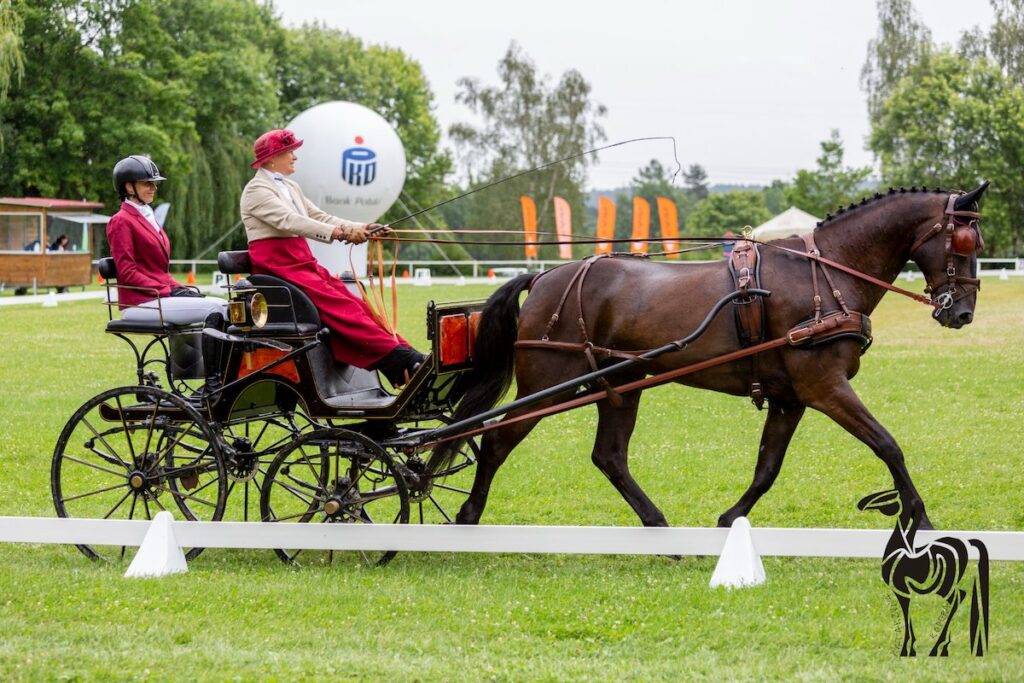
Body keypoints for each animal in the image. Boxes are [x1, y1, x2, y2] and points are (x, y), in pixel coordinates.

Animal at [434, 183, 989, 532]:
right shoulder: (825, 387)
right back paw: (469, 516)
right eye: (964, 241)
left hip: (619, 387)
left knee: (608, 456)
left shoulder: (792, 398)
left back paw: (657, 524)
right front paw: (921, 518)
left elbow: (767, 467)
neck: (827, 274)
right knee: (496, 442)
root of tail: (546, 275)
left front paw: (729, 519)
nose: (961, 312)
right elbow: (887, 445)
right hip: (546, 386)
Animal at [858, 489, 989, 656]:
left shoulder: (901, 589)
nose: (862, 505)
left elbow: (906, 613)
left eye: (890, 497)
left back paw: (939, 646)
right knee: (959, 595)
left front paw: (907, 648)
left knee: (957, 596)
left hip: (943, 585)